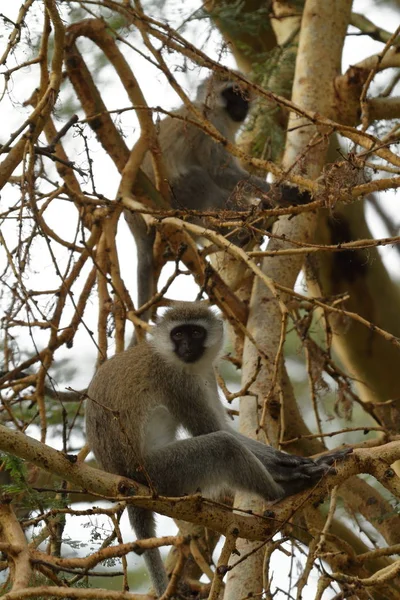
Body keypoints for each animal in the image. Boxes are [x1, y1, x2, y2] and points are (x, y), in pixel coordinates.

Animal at [86, 302, 348, 596]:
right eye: (178, 334)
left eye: (196, 332)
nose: (187, 346)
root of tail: (125, 478)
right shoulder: (177, 381)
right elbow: (212, 430)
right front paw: (290, 469)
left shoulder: (206, 374)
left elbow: (224, 427)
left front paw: (294, 459)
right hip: (159, 473)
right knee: (223, 446)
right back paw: (284, 490)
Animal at [123, 74, 310, 332]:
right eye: (231, 93)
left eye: (244, 94)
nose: (241, 105)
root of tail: (135, 225)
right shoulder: (212, 128)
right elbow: (220, 173)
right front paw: (282, 194)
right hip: (175, 198)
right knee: (200, 179)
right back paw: (242, 233)